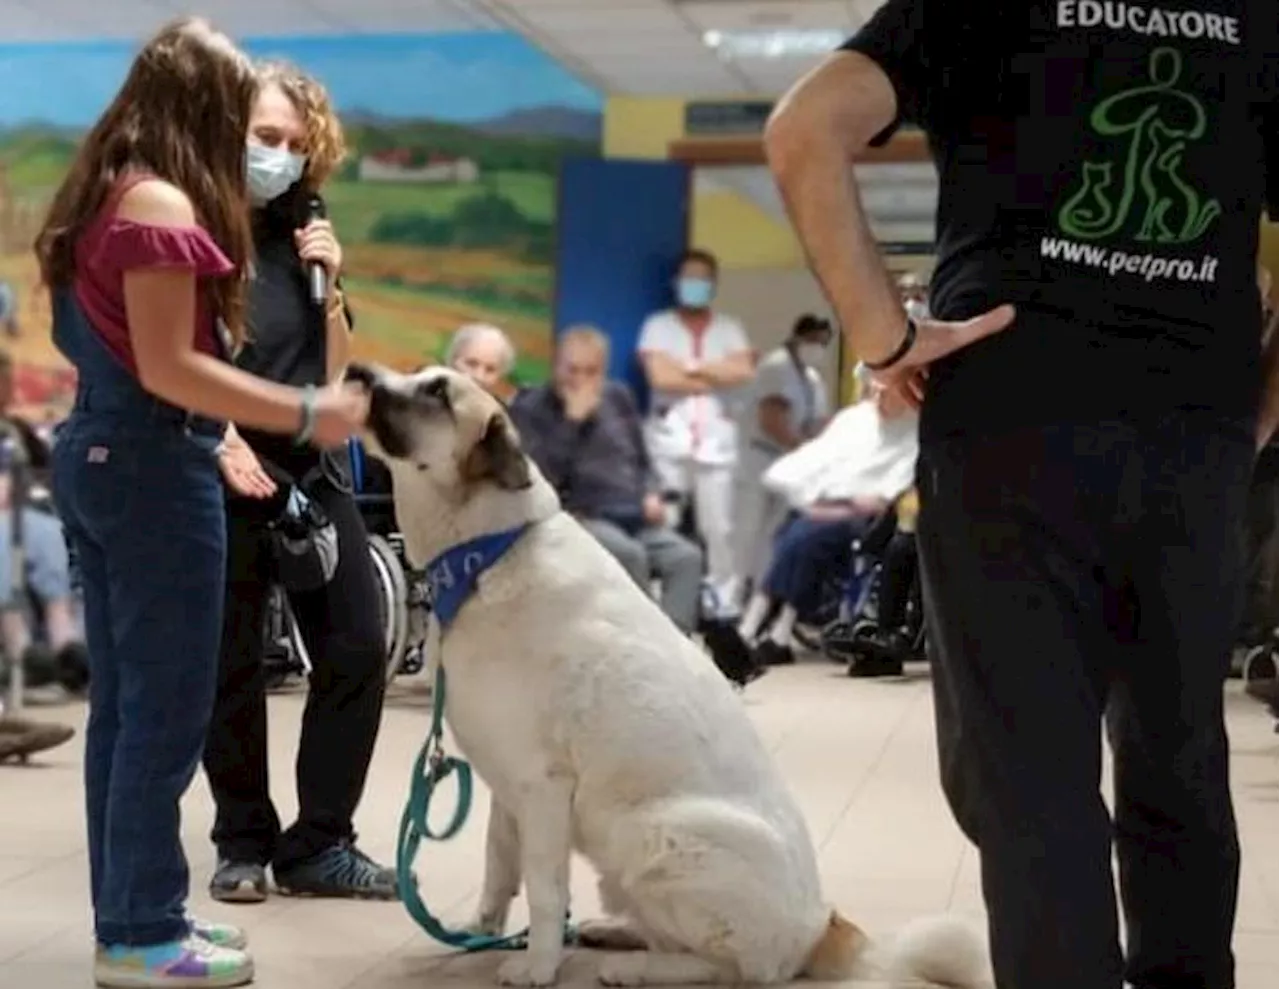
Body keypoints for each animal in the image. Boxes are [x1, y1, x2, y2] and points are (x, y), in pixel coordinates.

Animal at [348, 363, 988, 987]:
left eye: (437, 391)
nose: (356, 372)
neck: (487, 550)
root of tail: (819, 925)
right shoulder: (509, 790)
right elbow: (498, 869)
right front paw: (481, 932)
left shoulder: (542, 787)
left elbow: (545, 890)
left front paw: (537, 966)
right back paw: (614, 932)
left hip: (649, 834)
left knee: (734, 968)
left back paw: (633, 967)